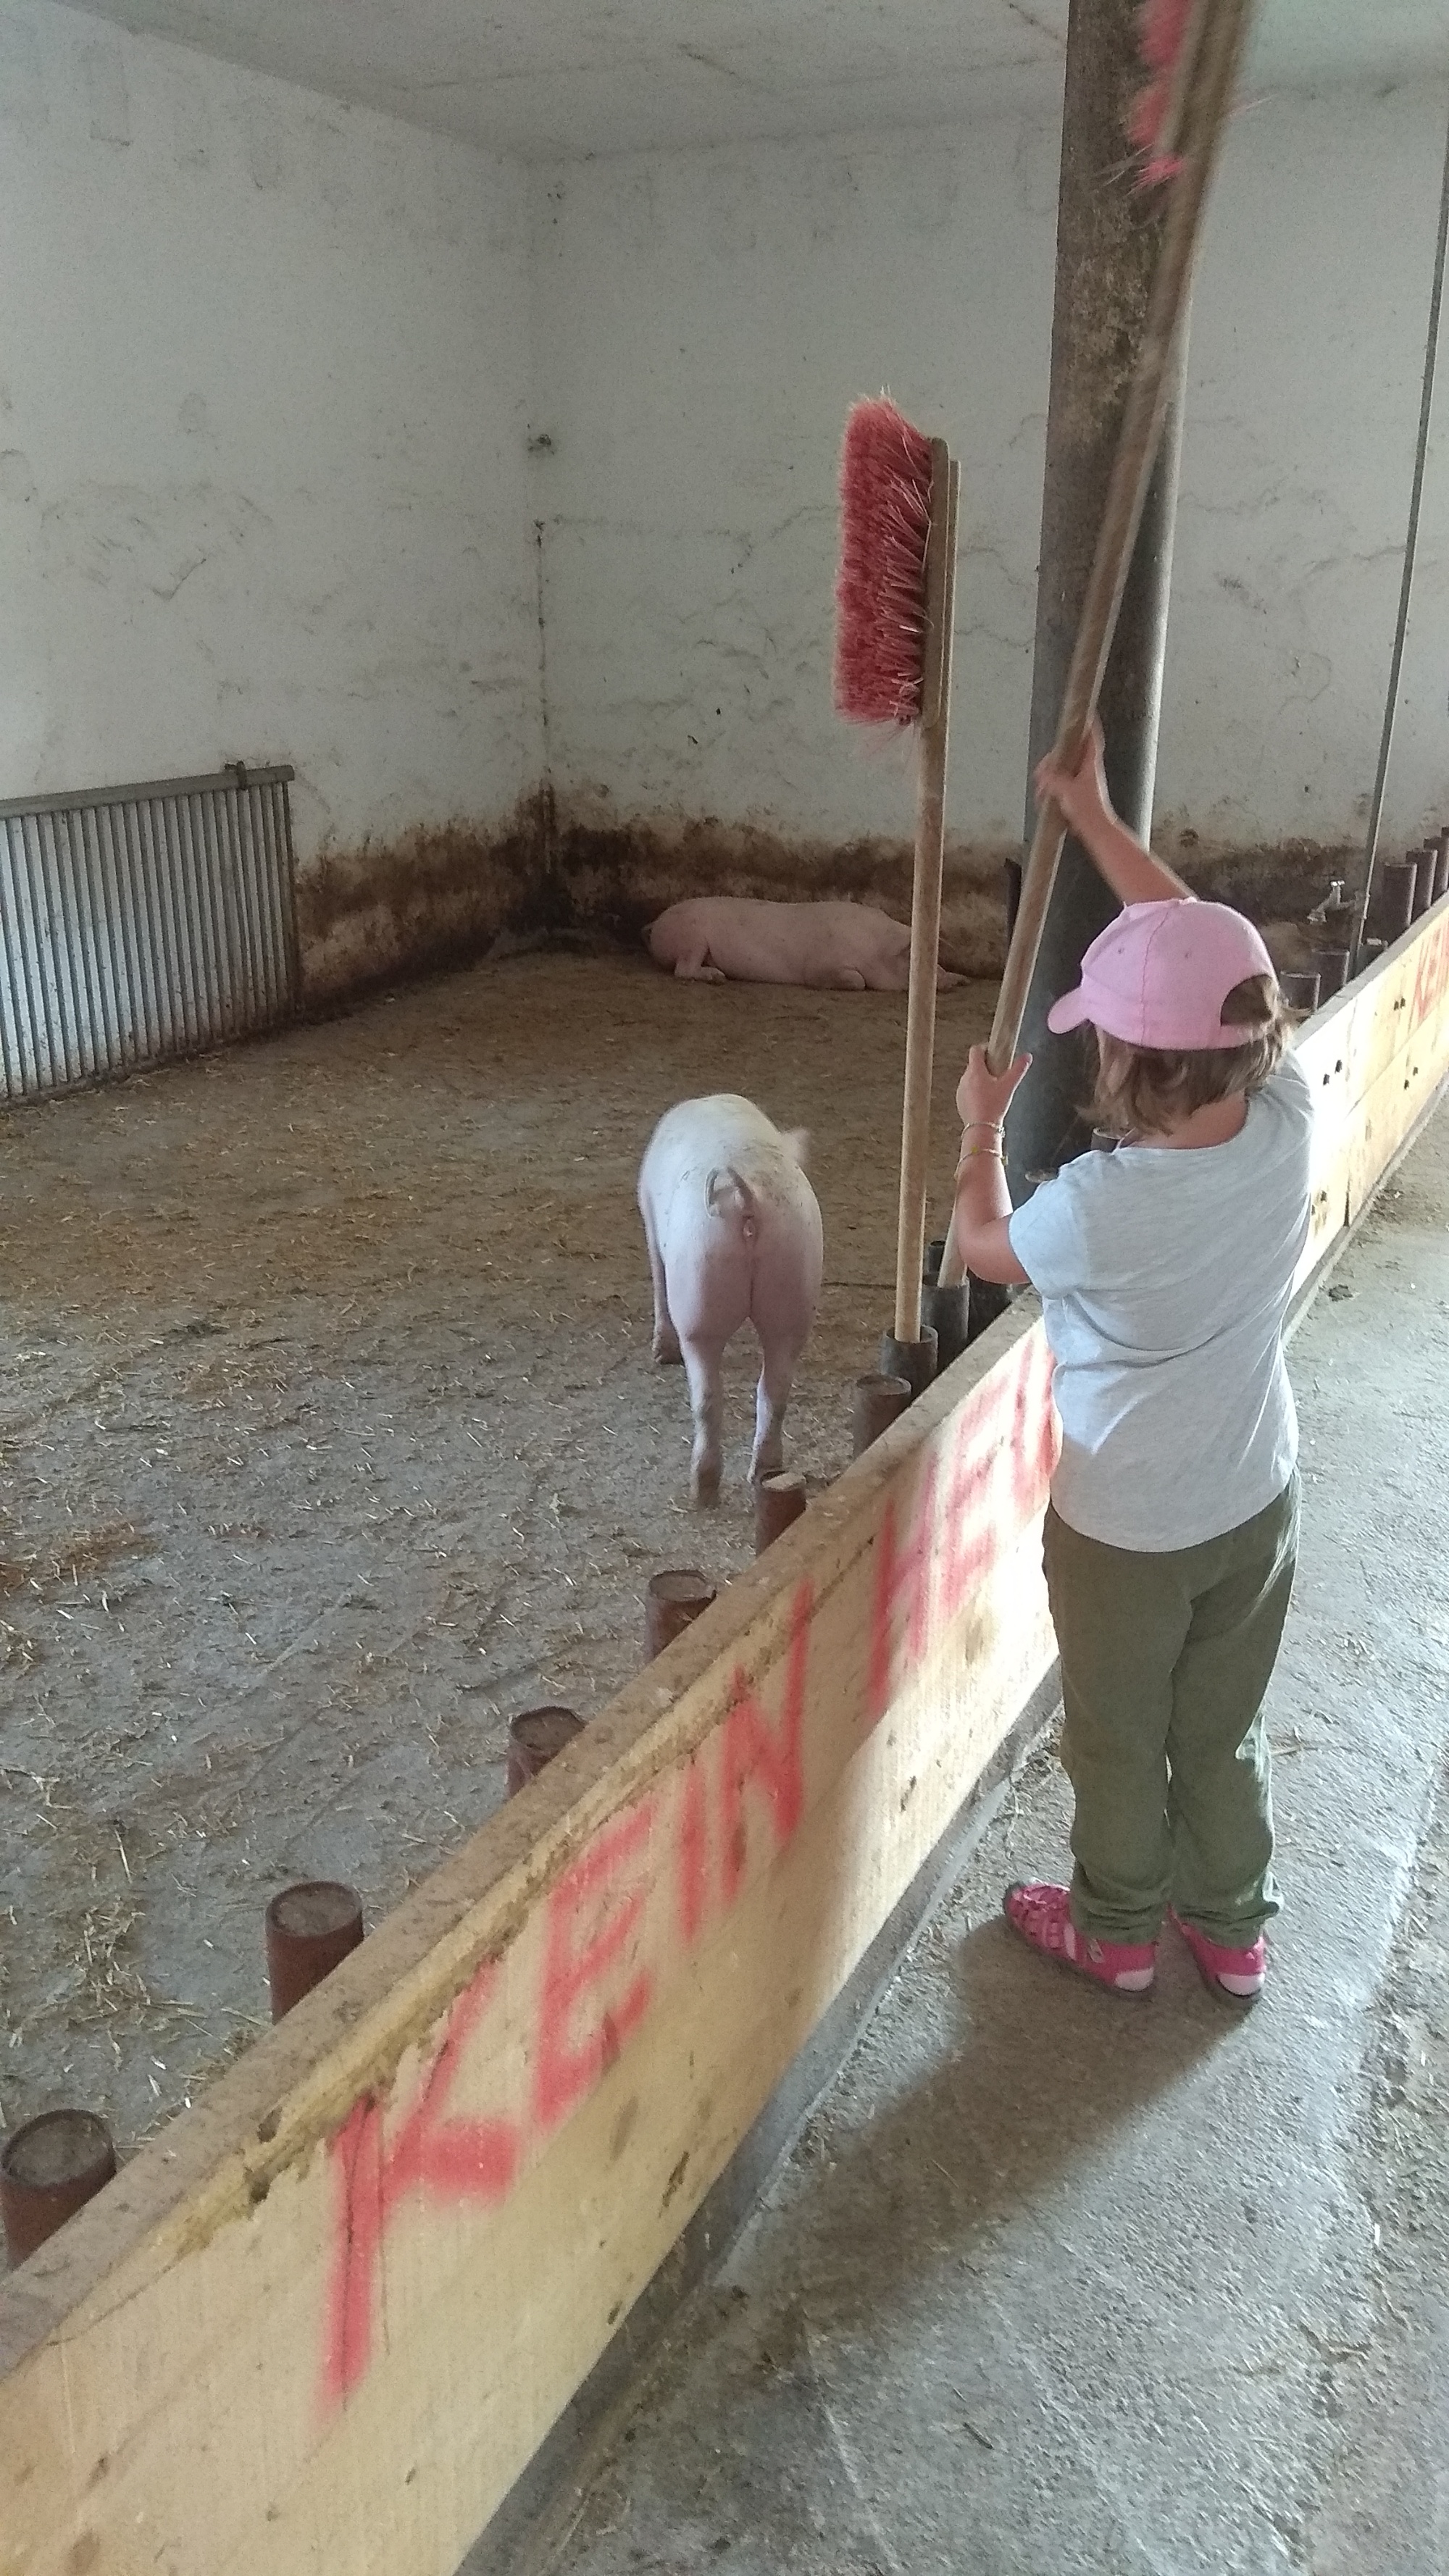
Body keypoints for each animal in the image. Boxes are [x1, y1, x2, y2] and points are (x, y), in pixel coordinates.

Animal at [634, 1092, 824, 1504]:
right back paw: (764, 1473)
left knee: (707, 1396)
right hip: (792, 1281)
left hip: (699, 1285)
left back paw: (702, 1488)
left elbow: (657, 1276)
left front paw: (660, 1352)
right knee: (774, 1389)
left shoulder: (649, 1216)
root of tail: (744, 1196)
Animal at [642, 901, 959, 989]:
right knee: (683, 969)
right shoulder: (820, 967)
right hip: (691, 937)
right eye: (914, 962)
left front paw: (960, 979)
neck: (874, 947)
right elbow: (855, 980)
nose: (947, 980)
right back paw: (716, 977)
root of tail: (655, 924)